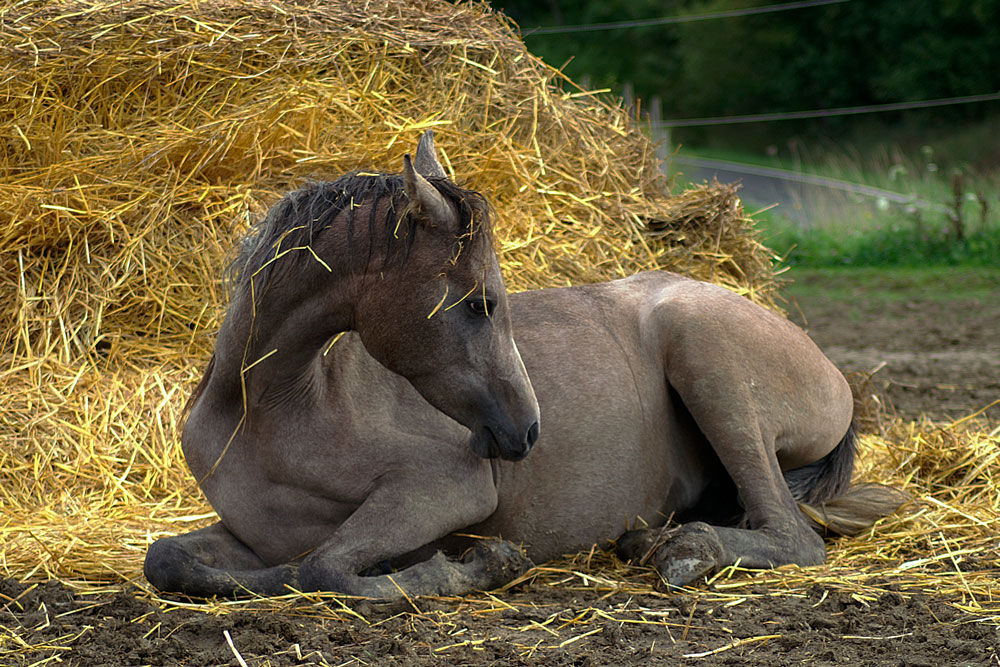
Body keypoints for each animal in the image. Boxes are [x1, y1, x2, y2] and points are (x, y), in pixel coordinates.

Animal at [145, 130, 904, 600]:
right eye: (481, 302)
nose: (528, 430)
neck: (279, 410)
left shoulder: (445, 488)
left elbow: (324, 566)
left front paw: (477, 564)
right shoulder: (247, 533)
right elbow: (172, 558)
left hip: (706, 357)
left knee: (791, 533)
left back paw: (684, 550)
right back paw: (648, 538)